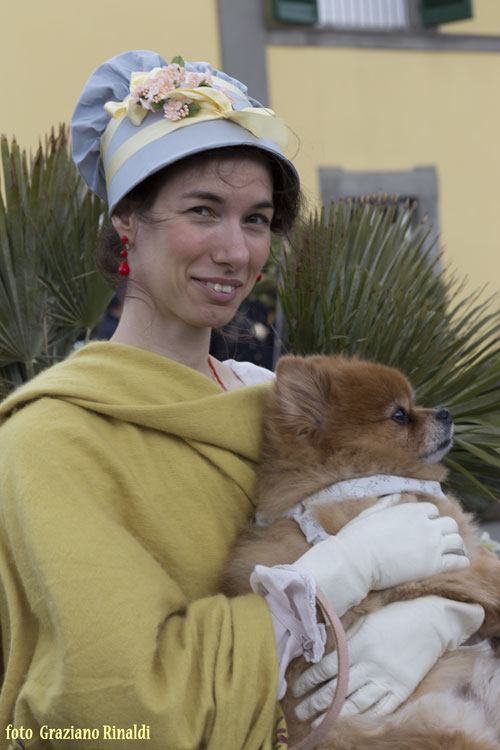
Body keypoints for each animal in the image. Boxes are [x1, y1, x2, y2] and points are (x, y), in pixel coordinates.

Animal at [224, 356, 500, 750]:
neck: (352, 478)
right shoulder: (456, 557)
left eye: (414, 403)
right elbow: (486, 581)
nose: (445, 411)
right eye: (399, 415)